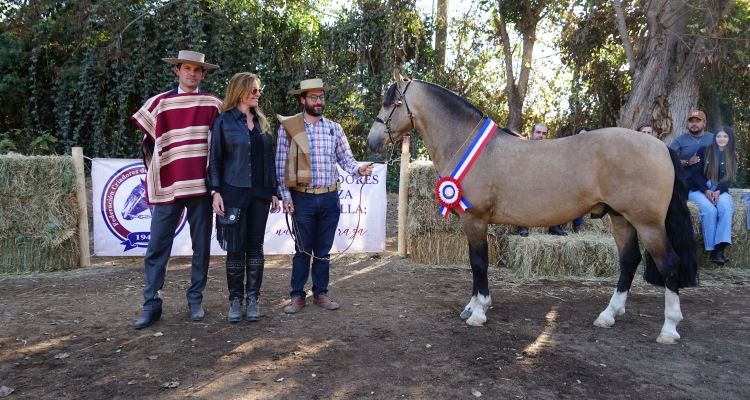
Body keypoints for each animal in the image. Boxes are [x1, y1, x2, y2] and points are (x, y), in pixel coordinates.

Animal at [368, 74, 704, 344]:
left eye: (392, 103)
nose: (372, 141)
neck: (467, 144)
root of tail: (661, 146)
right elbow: (475, 264)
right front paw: (472, 306)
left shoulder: (475, 220)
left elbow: (479, 263)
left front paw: (479, 311)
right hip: (621, 218)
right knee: (628, 261)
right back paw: (608, 315)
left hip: (648, 223)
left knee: (669, 264)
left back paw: (669, 329)